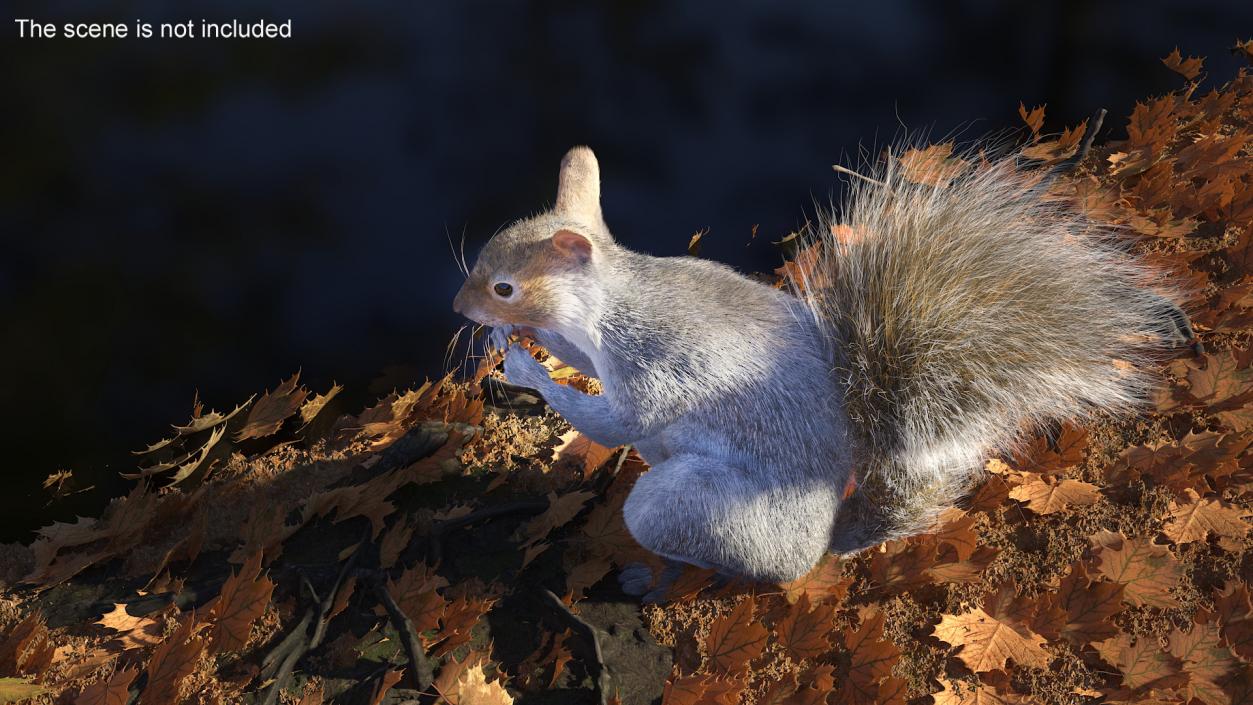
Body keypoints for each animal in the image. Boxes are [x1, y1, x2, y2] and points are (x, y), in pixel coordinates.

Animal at [451, 144, 1192, 586]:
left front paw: (524, 367)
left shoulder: (650, 363)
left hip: (695, 508)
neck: (608, 305)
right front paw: (527, 346)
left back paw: (659, 574)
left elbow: (613, 421)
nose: (461, 307)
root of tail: (825, 537)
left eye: (505, 287)